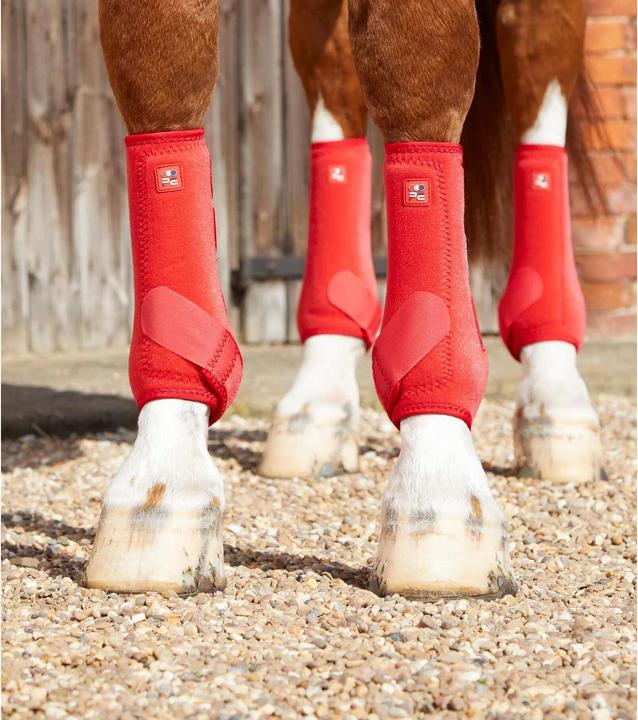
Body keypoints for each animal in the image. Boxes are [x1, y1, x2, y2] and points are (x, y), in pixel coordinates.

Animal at [85, 0, 604, 600]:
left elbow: (419, 79)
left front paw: (440, 496)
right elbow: (161, 82)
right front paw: (160, 488)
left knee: (540, 107)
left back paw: (559, 402)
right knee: (335, 97)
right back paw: (318, 405)